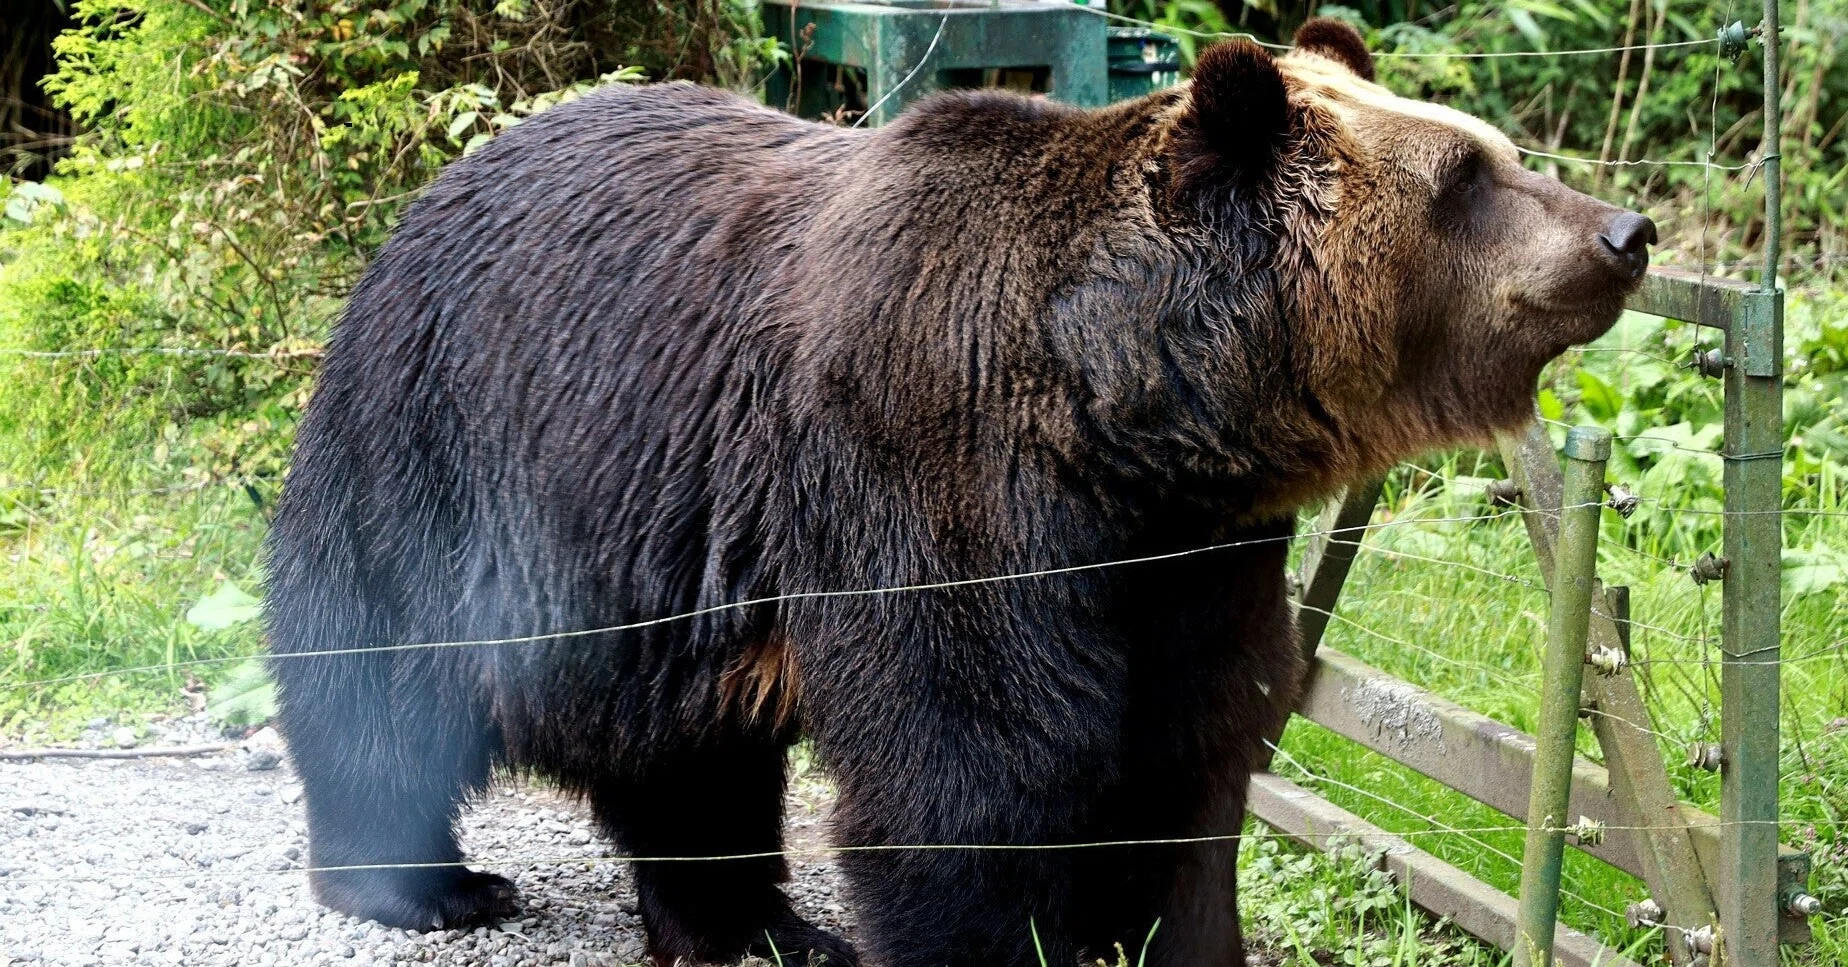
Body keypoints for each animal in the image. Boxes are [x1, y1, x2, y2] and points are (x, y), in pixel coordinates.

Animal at [263, 17, 1655, 967]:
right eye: (1463, 177)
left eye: (1503, 153)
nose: (1625, 231)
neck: (1121, 420)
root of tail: (462, 168)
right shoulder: (933, 472)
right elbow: (974, 761)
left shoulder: (1195, 561)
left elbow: (1191, 757)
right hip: (445, 439)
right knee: (377, 660)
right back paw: (426, 884)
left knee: (686, 743)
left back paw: (756, 925)